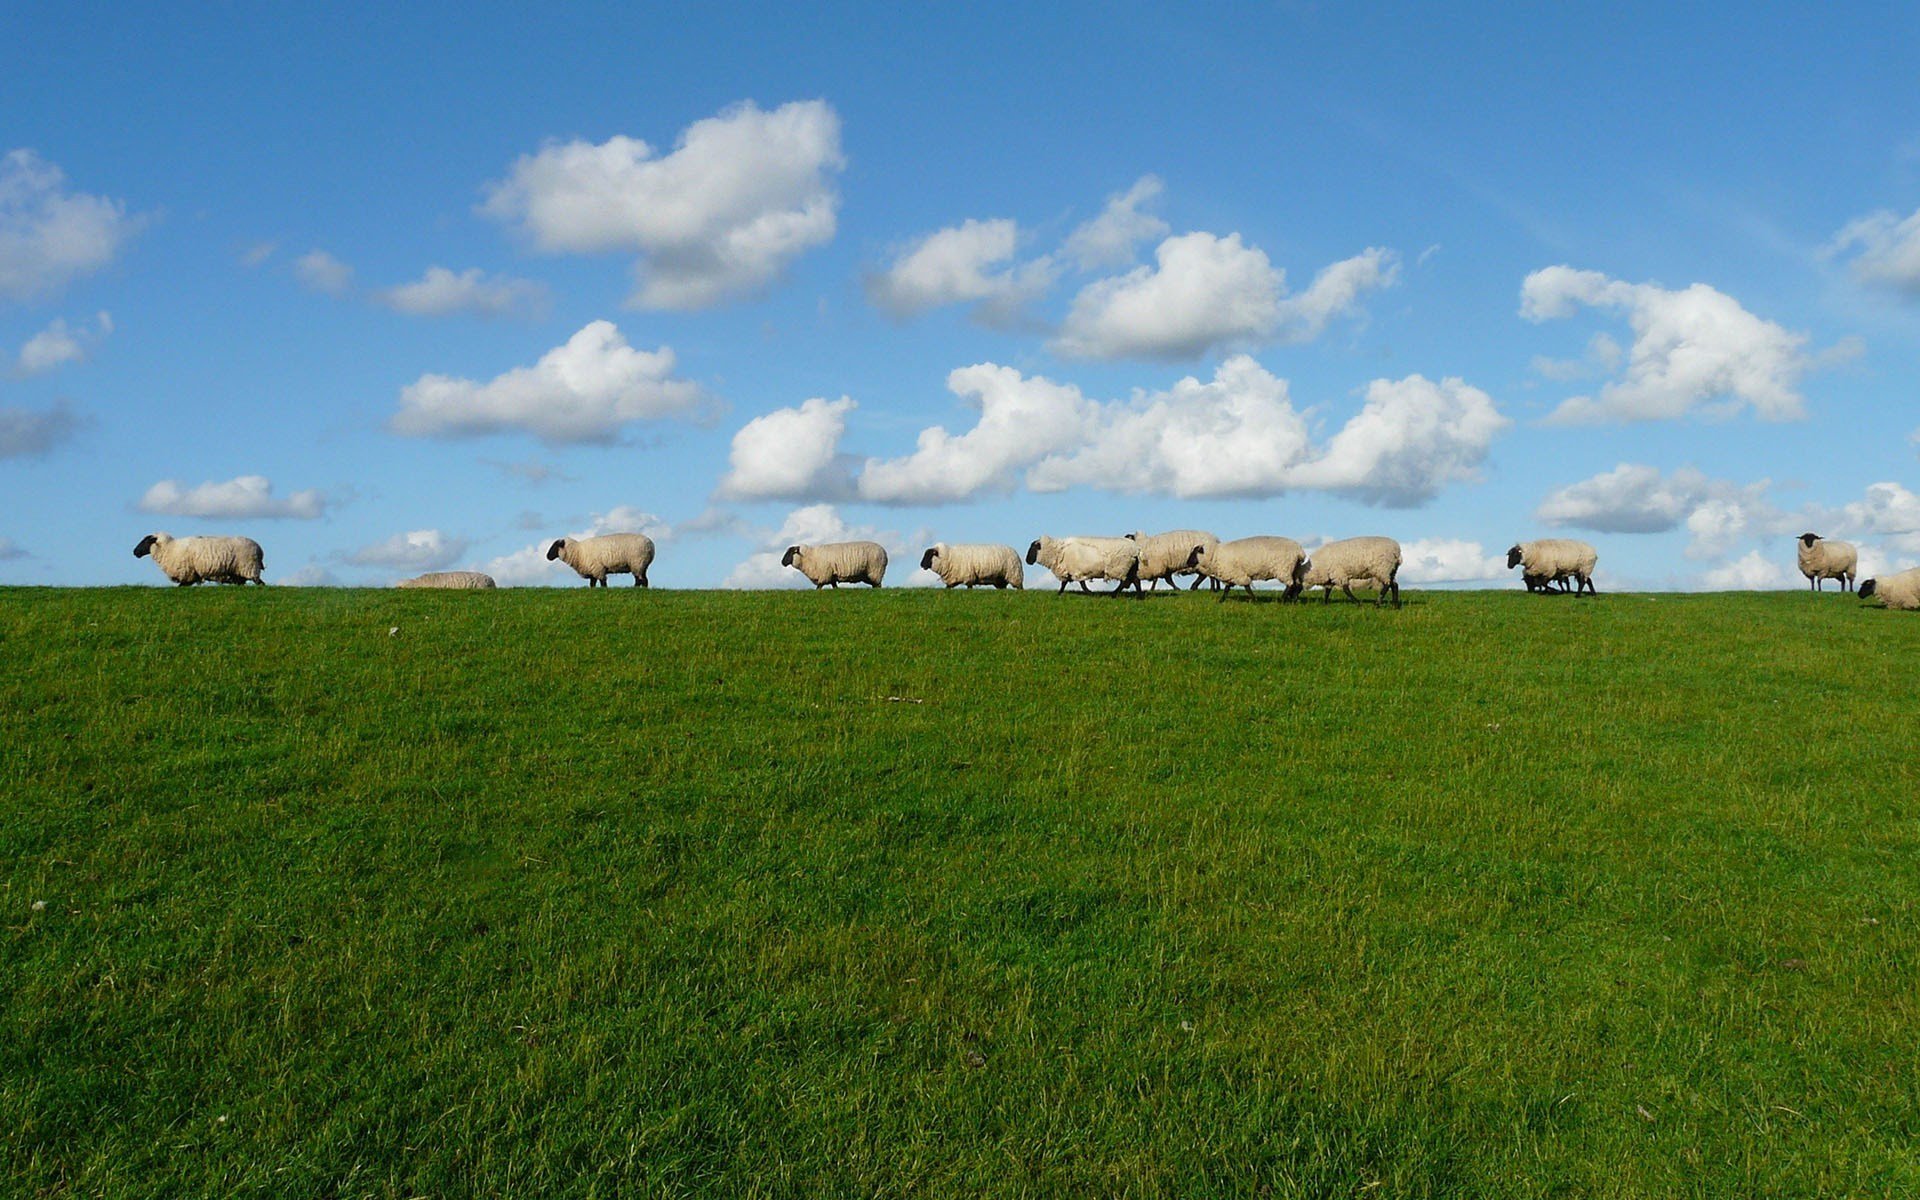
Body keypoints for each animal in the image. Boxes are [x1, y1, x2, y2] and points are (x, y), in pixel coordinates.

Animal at [132, 537, 266, 587]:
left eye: (145, 541)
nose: (135, 552)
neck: (170, 548)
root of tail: (259, 549)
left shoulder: (188, 573)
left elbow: (181, 586)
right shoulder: (191, 575)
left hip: (249, 567)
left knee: (260, 583)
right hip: (239, 573)